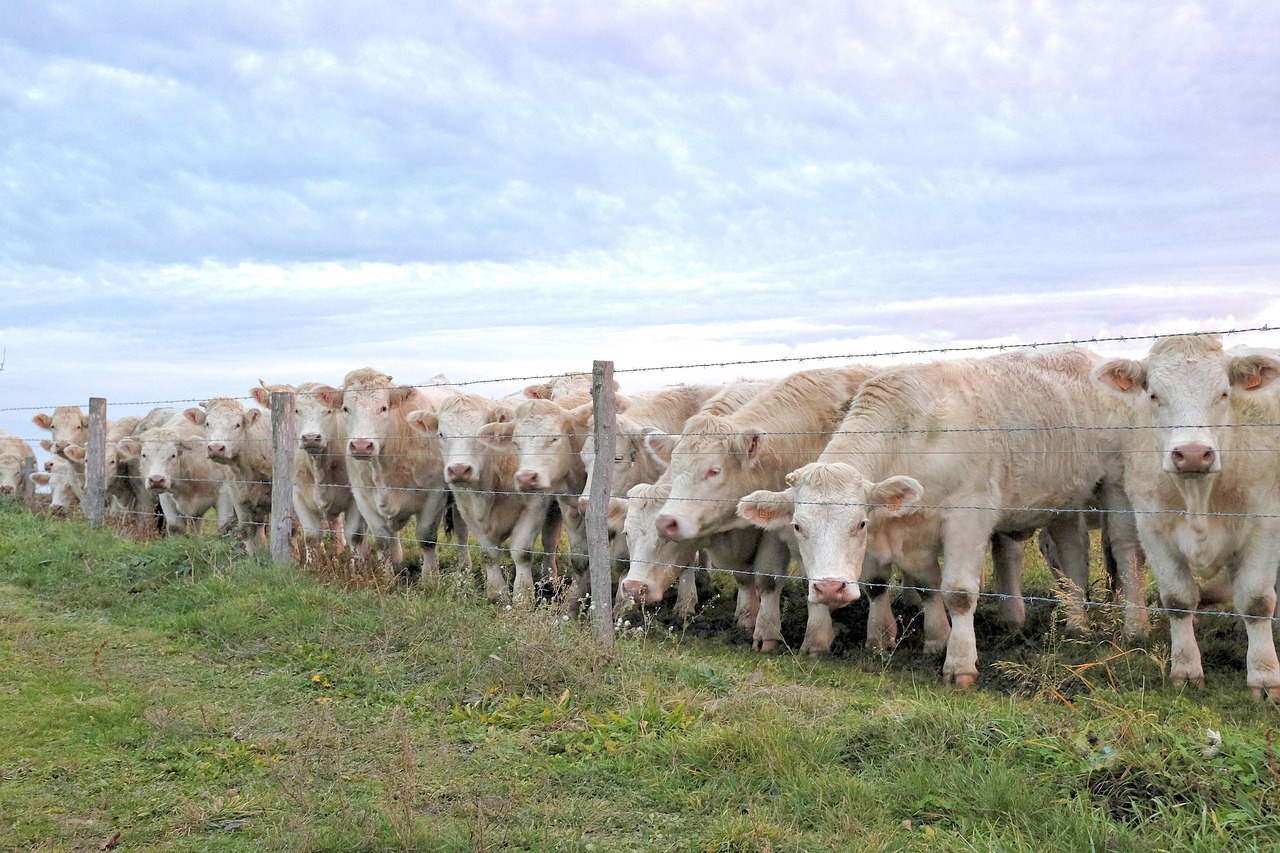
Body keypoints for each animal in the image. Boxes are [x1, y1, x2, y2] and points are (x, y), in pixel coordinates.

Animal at [313, 368, 459, 581]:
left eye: (383, 408)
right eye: (346, 408)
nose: (361, 445)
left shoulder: (435, 494)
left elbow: (426, 539)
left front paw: (430, 580)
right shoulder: (363, 497)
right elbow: (383, 540)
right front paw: (386, 578)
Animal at [409, 392, 556, 603]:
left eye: (480, 434)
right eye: (441, 434)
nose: (459, 469)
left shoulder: (536, 504)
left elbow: (522, 553)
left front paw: (522, 596)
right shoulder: (467, 509)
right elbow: (489, 553)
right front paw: (496, 592)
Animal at [736, 348, 1143, 687]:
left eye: (860, 523)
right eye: (798, 526)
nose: (830, 588)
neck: (912, 437)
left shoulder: (968, 515)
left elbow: (958, 593)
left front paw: (960, 664)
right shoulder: (911, 530)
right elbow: (923, 586)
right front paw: (933, 639)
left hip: (1115, 483)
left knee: (1123, 549)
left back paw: (1129, 625)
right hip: (1063, 499)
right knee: (1072, 551)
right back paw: (1076, 623)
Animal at [1093, 334, 1280, 699]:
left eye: (1223, 394)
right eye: (1154, 395)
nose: (1193, 454)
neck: (1199, 498)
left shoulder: (1265, 526)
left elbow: (1256, 601)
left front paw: (1264, 679)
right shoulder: (1152, 528)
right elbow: (1178, 599)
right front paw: (1186, 671)